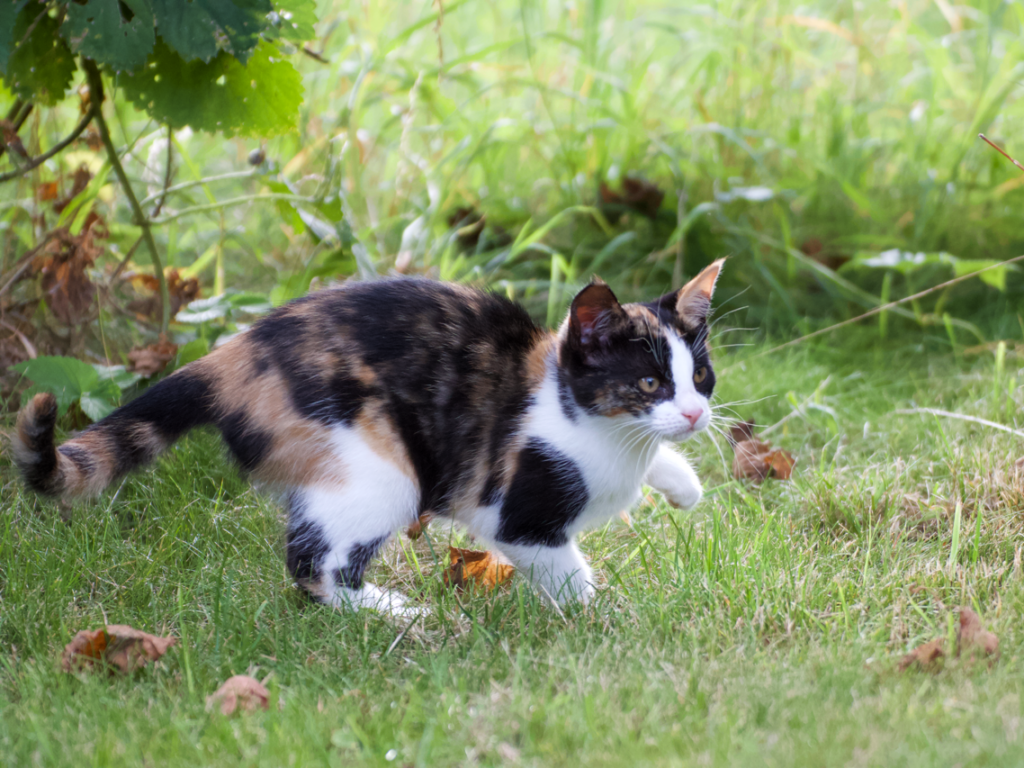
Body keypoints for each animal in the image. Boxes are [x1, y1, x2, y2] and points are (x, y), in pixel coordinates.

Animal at [12, 260, 724, 614]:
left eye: (700, 377)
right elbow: (563, 569)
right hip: (379, 467)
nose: (695, 416)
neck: (595, 430)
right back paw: (399, 613)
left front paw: (681, 484)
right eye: (649, 383)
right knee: (312, 564)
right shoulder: (515, 511)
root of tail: (231, 355)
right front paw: (600, 618)